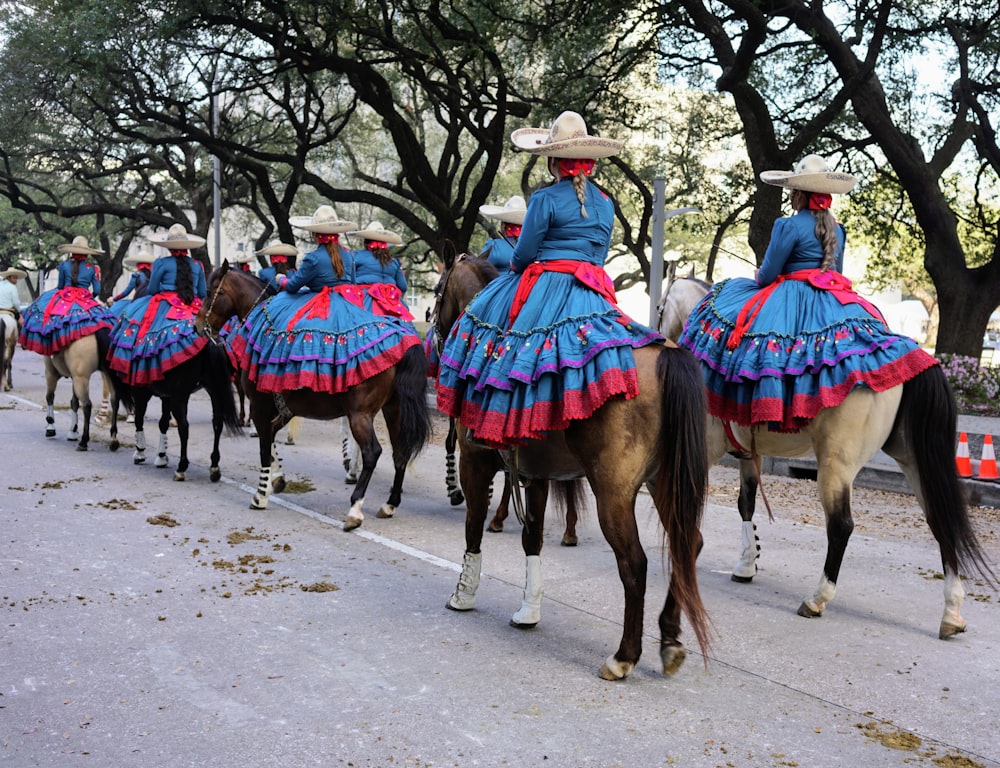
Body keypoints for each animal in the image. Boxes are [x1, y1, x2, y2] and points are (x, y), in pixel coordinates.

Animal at [193, 262, 432, 528]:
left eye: (212, 291)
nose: (198, 325)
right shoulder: (284, 410)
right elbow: (271, 437)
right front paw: (277, 478)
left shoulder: (260, 406)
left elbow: (264, 448)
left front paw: (260, 495)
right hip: (393, 409)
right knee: (400, 453)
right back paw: (389, 504)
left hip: (360, 415)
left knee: (372, 453)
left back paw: (355, 508)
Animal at [434, 252, 708, 680]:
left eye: (436, 290)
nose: (433, 333)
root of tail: (669, 352)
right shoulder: (536, 475)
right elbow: (532, 539)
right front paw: (528, 611)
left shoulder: (473, 462)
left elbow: (473, 526)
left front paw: (463, 593)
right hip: (666, 484)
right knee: (687, 545)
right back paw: (669, 639)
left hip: (613, 493)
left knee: (635, 563)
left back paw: (624, 656)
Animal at [660, 274, 996, 636]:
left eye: (660, 307)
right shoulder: (750, 452)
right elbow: (746, 503)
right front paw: (747, 562)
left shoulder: (710, 445)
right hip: (913, 462)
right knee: (940, 521)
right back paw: (952, 612)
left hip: (836, 465)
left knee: (841, 526)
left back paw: (817, 598)